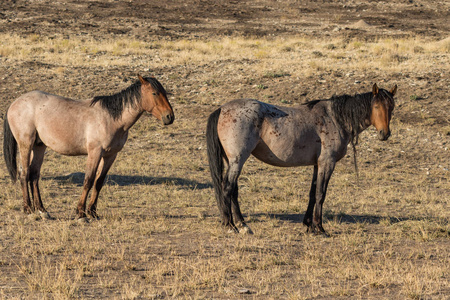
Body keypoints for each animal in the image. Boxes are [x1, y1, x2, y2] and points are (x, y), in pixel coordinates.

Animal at [3, 75, 174, 220]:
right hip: (26, 144)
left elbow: (99, 182)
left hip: (39, 146)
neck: (111, 118)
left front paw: (92, 212)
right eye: (154, 93)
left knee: (34, 175)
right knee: (24, 173)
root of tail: (14, 103)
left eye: (165, 92)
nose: (169, 117)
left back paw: (41, 210)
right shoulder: (95, 153)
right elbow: (88, 180)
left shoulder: (110, 155)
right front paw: (80, 213)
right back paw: (28, 209)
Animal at [206, 82, 396, 234]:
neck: (335, 118)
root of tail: (221, 109)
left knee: (234, 190)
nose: (385, 134)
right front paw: (319, 227)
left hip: (232, 161)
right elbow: (321, 194)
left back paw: (243, 224)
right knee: (227, 188)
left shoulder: (317, 165)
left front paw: (308, 225)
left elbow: (312, 193)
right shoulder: (327, 163)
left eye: (392, 108)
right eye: (376, 107)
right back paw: (230, 225)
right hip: (238, 160)